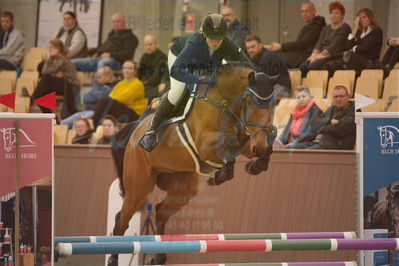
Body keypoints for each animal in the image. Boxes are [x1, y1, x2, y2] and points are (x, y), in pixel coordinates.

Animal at [109, 62, 278, 266]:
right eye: (250, 102)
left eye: (273, 105)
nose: (258, 148)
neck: (225, 102)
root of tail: (134, 130)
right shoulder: (206, 144)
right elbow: (228, 144)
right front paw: (219, 175)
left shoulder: (247, 141)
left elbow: (264, 144)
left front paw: (255, 165)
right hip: (138, 188)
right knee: (121, 221)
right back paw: (113, 259)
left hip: (182, 188)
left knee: (160, 212)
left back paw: (158, 257)